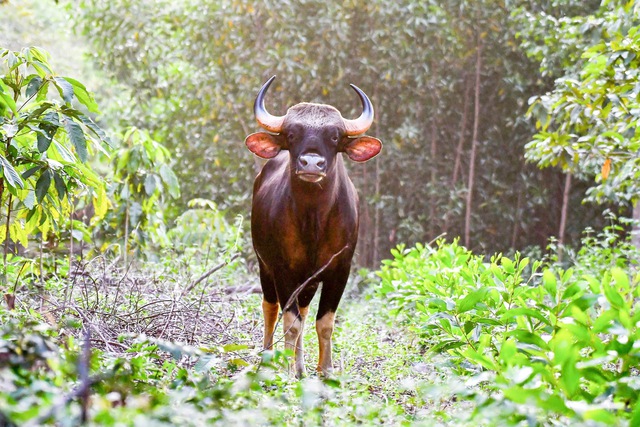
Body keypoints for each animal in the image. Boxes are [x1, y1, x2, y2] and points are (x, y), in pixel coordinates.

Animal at [245, 77, 380, 378]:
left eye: (334, 136)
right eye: (292, 134)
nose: (311, 163)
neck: (313, 224)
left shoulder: (340, 270)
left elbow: (325, 322)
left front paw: (325, 370)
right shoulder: (283, 270)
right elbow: (290, 322)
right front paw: (285, 369)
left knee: (305, 314)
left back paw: (300, 366)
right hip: (265, 266)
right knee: (271, 308)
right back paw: (269, 358)